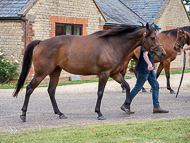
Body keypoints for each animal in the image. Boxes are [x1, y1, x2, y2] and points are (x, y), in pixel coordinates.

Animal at [13, 22, 166, 122]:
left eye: (158, 37)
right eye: (153, 37)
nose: (162, 53)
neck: (113, 44)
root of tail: (42, 42)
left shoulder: (114, 74)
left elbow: (127, 86)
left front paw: (127, 107)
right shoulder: (104, 74)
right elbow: (100, 93)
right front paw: (99, 113)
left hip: (55, 72)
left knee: (51, 91)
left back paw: (60, 113)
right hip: (41, 73)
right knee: (29, 89)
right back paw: (23, 115)